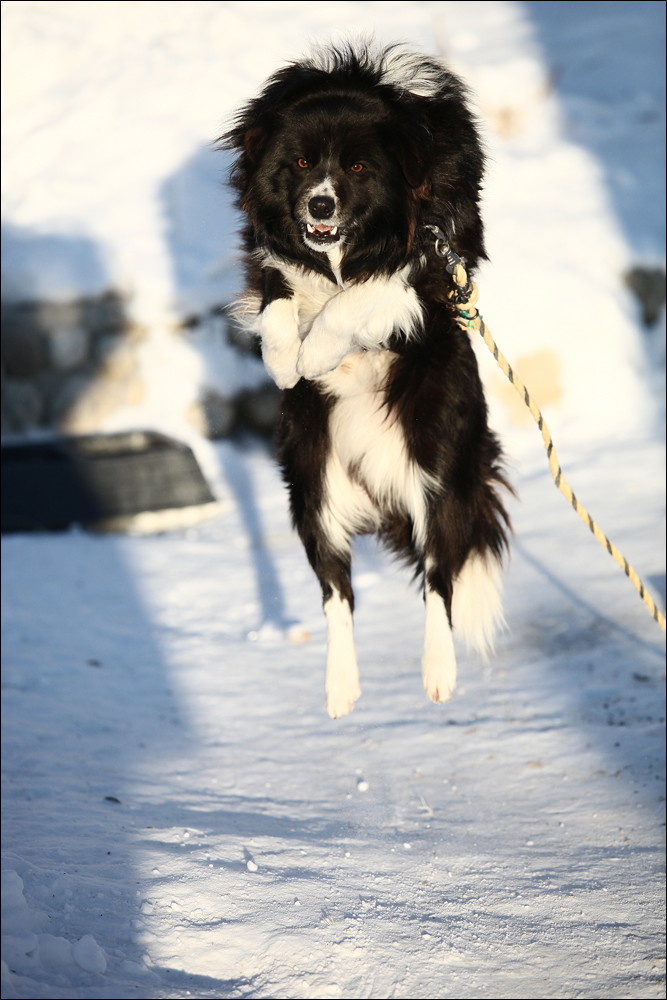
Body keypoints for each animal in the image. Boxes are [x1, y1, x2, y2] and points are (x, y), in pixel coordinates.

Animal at [224, 43, 512, 716]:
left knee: (439, 579)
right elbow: (278, 291)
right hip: (313, 488)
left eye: (357, 166)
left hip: (438, 477)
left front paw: (318, 351)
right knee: (338, 592)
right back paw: (341, 687)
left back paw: (438, 674)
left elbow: (366, 294)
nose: (319, 205)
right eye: (301, 162)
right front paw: (287, 358)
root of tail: (381, 494)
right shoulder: (271, 252)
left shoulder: (435, 259)